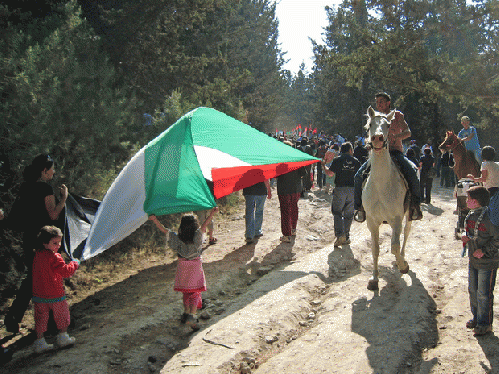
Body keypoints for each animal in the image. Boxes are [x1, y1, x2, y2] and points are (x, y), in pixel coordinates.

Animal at [362, 106, 412, 290]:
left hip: (409, 214)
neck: (381, 184)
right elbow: (375, 249)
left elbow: (395, 247)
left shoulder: (397, 218)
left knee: (406, 233)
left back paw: (403, 258)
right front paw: (374, 279)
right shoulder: (372, 221)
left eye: (389, 125)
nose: (377, 138)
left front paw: (403, 266)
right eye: (369, 125)